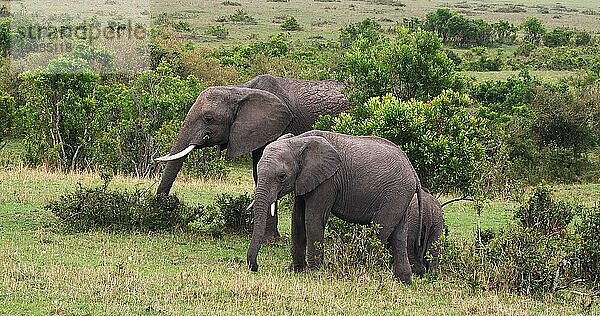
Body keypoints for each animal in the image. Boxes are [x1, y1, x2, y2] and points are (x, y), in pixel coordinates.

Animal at [155, 74, 352, 239]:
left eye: (208, 118)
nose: (171, 201)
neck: (240, 90)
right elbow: (259, 174)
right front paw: (269, 237)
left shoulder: (276, 127)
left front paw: (269, 240)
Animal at [246, 131, 424, 284]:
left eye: (282, 176)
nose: (255, 267)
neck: (298, 141)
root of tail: (414, 173)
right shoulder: (305, 179)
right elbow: (297, 218)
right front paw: (296, 270)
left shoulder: (328, 181)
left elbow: (312, 218)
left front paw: (313, 272)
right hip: (400, 197)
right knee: (399, 236)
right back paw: (404, 281)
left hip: (396, 193)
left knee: (379, 231)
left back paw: (366, 270)